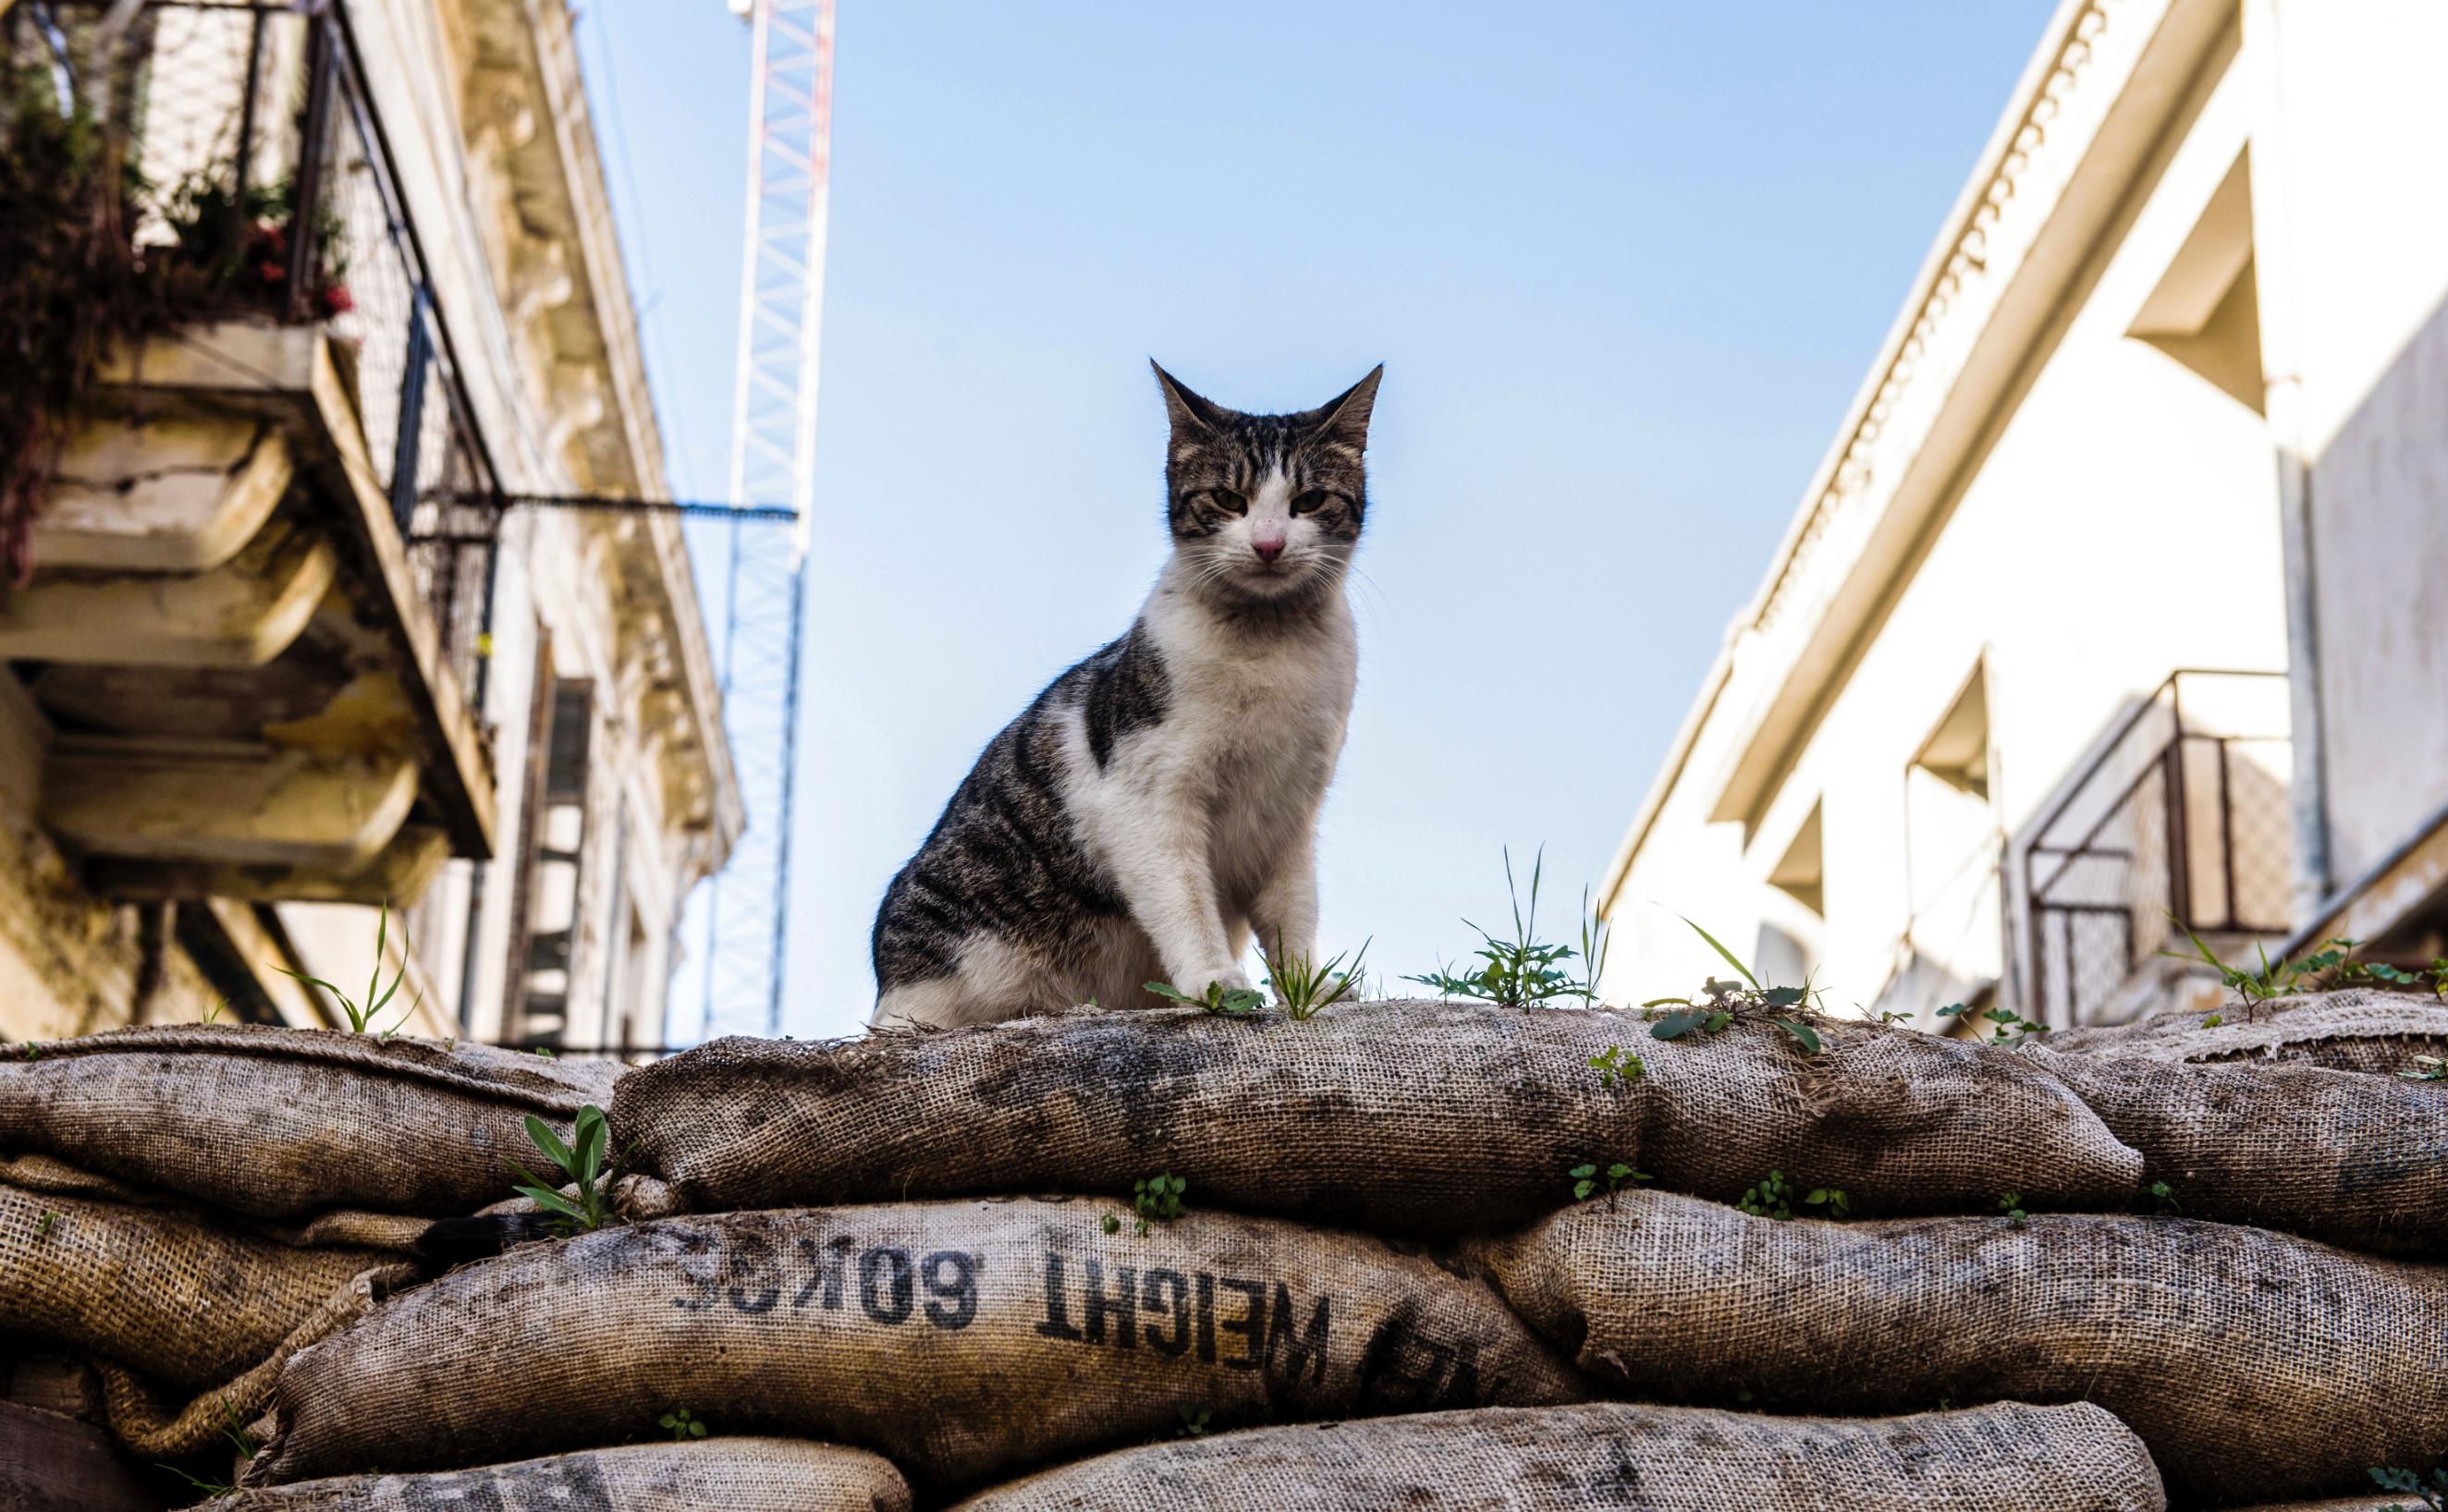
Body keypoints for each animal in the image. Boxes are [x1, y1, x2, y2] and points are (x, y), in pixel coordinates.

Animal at [875, 360, 1380, 1032]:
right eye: (1229, 499)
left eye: (1309, 501)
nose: (1270, 544)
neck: (1270, 647)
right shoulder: (1145, 800)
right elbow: (1184, 901)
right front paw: (1216, 981)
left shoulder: (1290, 814)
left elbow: (1292, 914)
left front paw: (1312, 990)